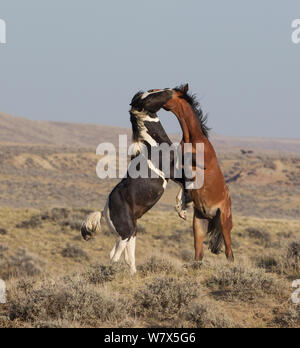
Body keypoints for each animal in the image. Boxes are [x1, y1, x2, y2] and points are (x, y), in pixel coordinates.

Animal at [80, 88, 188, 274]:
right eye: (150, 96)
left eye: (152, 91)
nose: (170, 91)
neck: (153, 143)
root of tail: (104, 211)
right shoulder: (171, 171)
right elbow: (186, 183)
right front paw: (183, 210)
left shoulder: (171, 175)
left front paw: (181, 212)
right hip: (126, 232)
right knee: (114, 256)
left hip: (132, 232)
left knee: (128, 257)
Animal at [162, 84, 234, 260]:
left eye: (168, 91)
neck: (193, 138)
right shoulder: (179, 170)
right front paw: (180, 206)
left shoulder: (201, 163)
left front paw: (181, 205)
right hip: (199, 224)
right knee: (198, 254)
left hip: (224, 223)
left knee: (229, 253)